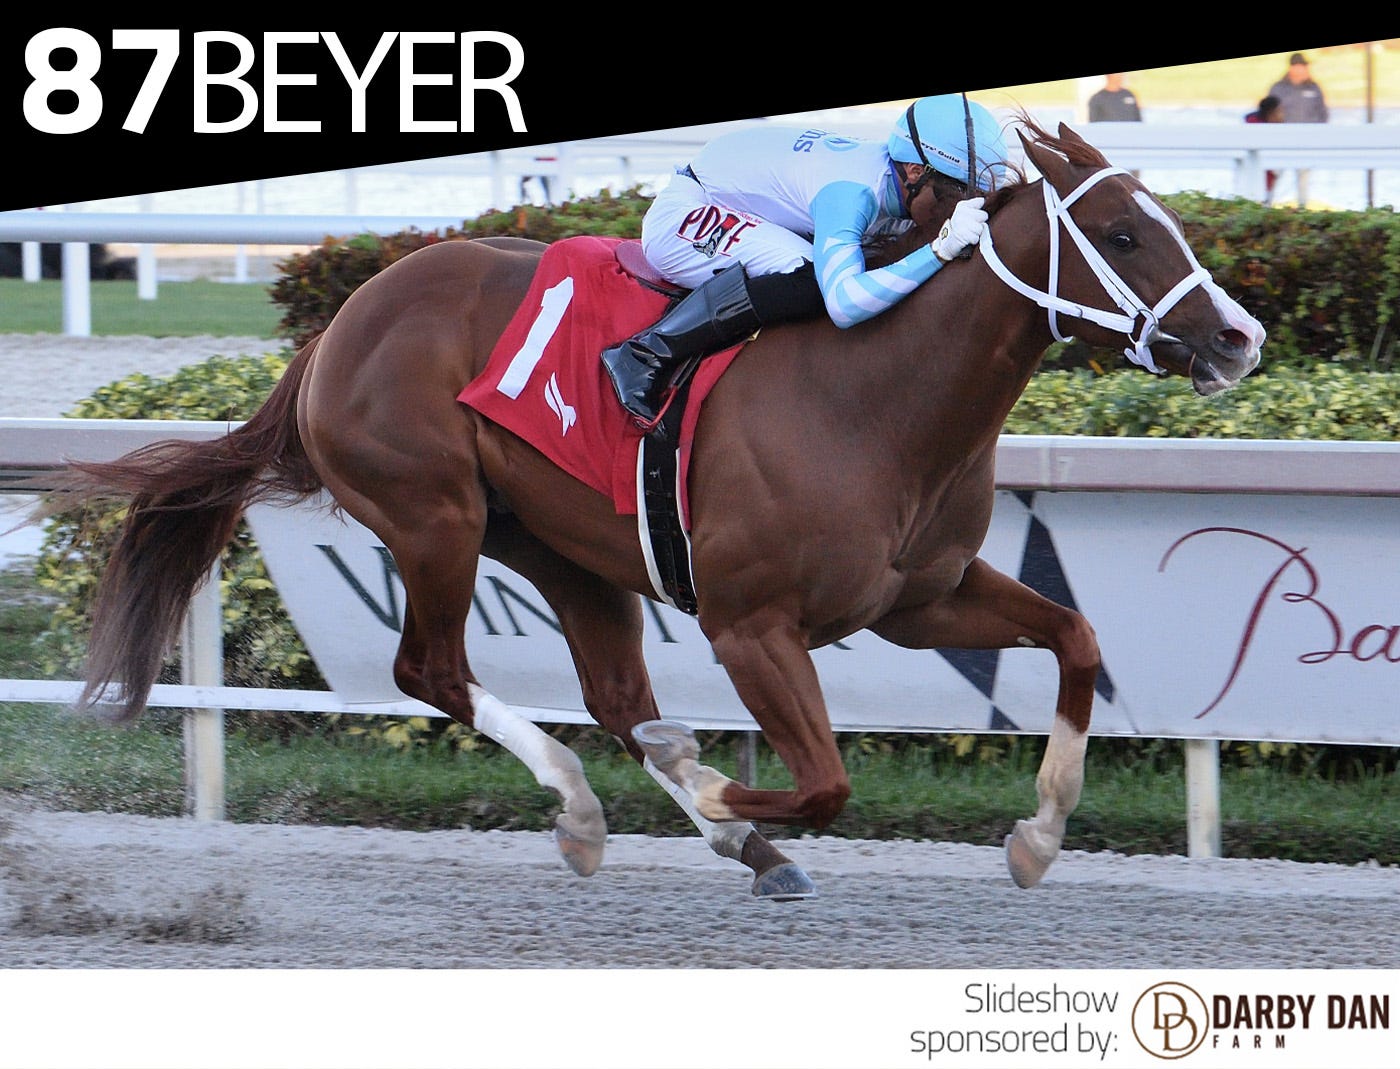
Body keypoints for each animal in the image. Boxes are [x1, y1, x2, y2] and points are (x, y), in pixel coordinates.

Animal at [37, 118, 1264, 900]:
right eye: (1121, 235)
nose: (1238, 337)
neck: (878, 393)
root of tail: (346, 318)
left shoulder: (920, 599)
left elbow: (1075, 638)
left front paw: (1037, 836)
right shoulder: (751, 623)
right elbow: (824, 780)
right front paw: (724, 789)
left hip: (564, 546)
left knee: (618, 696)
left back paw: (733, 840)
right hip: (433, 516)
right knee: (433, 670)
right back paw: (594, 812)